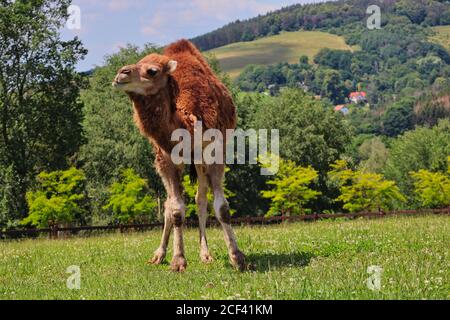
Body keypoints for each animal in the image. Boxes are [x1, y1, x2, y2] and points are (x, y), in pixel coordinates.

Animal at [112, 38, 246, 272]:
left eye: (152, 71)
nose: (121, 73)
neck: (188, 123)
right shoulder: (166, 158)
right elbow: (175, 210)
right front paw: (178, 259)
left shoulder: (214, 152)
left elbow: (222, 208)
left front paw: (237, 257)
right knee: (169, 203)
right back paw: (159, 254)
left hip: (199, 161)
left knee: (201, 199)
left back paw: (205, 254)